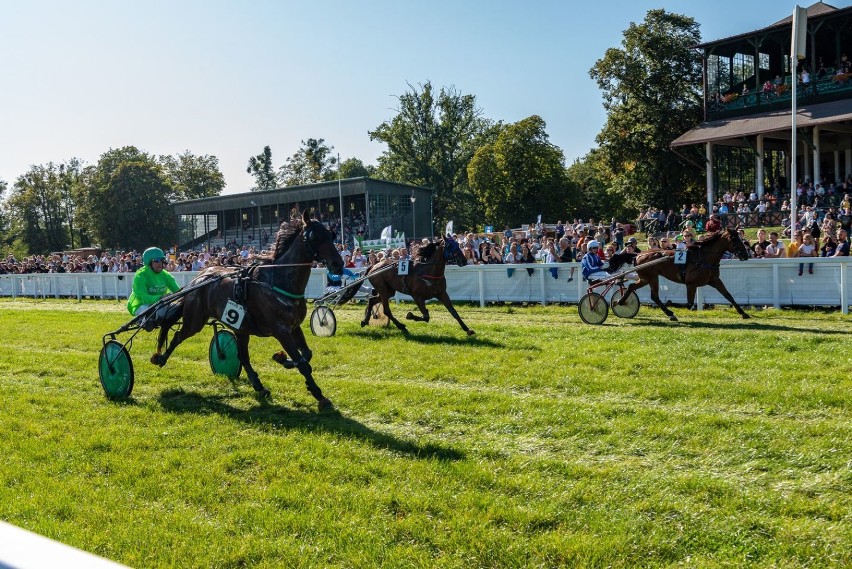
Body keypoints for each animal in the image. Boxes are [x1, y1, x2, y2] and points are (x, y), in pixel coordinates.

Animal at [153, 210, 342, 408]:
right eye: (315, 236)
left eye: (331, 234)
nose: (338, 264)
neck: (277, 281)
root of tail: (198, 279)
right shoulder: (281, 331)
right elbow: (302, 363)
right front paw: (319, 395)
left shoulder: (294, 327)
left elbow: (306, 355)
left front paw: (282, 359)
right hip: (195, 321)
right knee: (178, 336)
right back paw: (161, 358)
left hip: (240, 328)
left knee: (243, 356)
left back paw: (258, 385)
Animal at [616, 229, 748, 322]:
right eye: (735, 239)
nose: (746, 255)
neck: (703, 258)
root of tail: (638, 255)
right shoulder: (691, 284)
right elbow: (689, 304)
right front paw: (671, 303)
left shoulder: (714, 280)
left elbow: (728, 295)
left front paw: (743, 313)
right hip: (651, 277)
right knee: (654, 296)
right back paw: (670, 313)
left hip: (646, 278)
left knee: (633, 287)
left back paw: (621, 301)